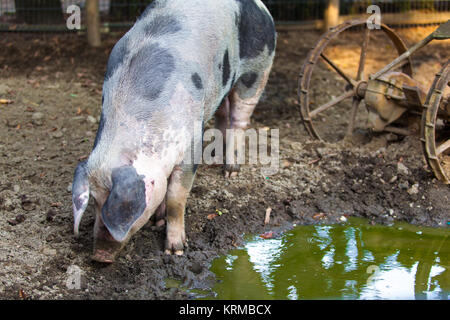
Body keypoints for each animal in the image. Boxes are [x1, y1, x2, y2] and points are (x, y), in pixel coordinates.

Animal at [71, 0, 274, 262]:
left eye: (115, 204)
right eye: (94, 202)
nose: (99, 256)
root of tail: (261, 6)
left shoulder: (190, 144)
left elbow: (176, 197)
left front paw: (175, 250)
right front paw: (157, 220)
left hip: (258, 70)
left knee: (239, 119)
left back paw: (230, 172)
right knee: (223, 112)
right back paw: (215, 157)